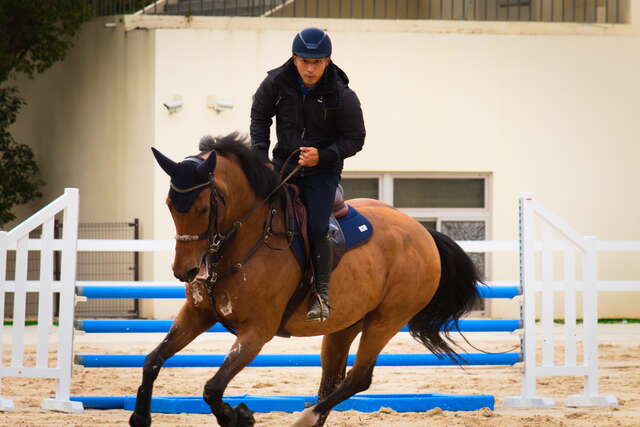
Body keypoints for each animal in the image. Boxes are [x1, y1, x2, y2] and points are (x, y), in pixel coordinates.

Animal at [130, 134, 480, 427]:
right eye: (170, 205)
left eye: (203, 209)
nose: (185, 271)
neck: (242, 242)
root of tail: (423, 232)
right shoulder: (198, 314)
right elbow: (152, 361)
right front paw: (140, 417)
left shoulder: (256, 332)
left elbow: (212, 388)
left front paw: (239, 416)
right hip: (345, 324)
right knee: (333, 379)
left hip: (387, 319)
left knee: (359, 377)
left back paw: (306, 417)